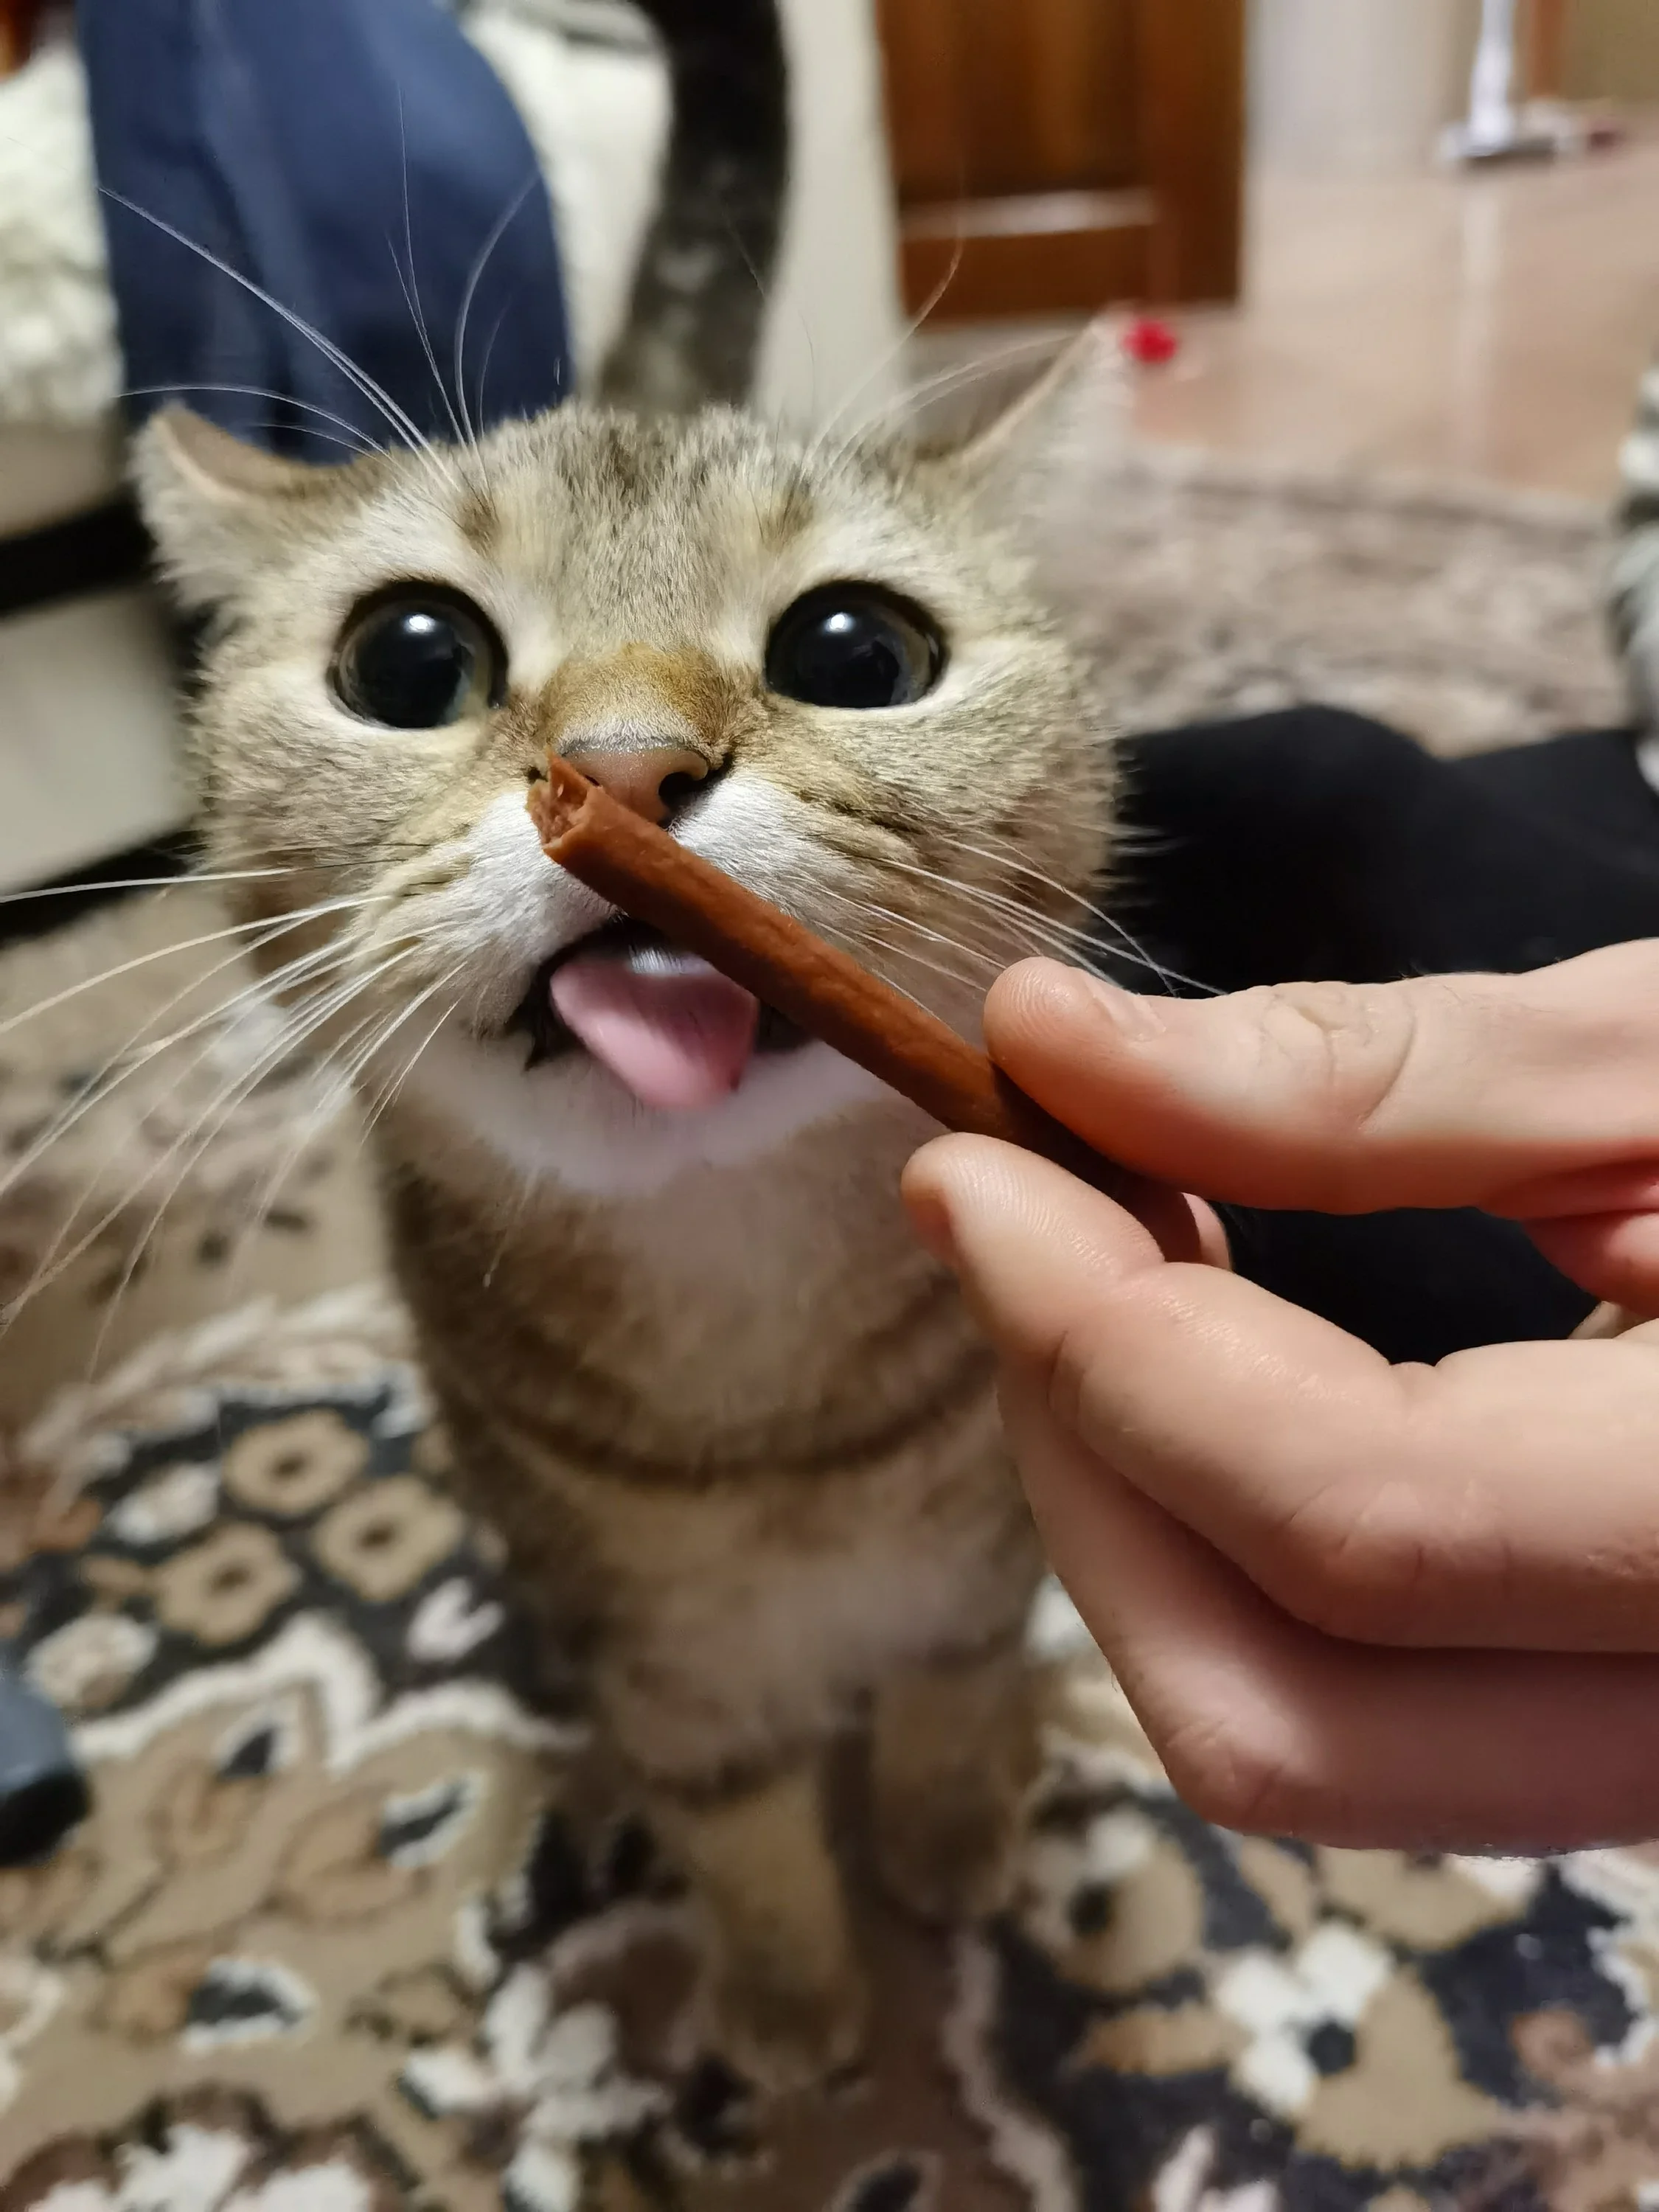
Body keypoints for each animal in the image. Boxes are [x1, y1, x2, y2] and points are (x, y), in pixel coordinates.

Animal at [133, 333, 1119, 2091]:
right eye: (407, 661)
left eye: (858, 649)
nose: (620, 769)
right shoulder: (654, 1656)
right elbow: (735, 1823)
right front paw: (791, 1999)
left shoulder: (979, 1558)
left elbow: (948, 1689)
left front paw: (946, 1833)